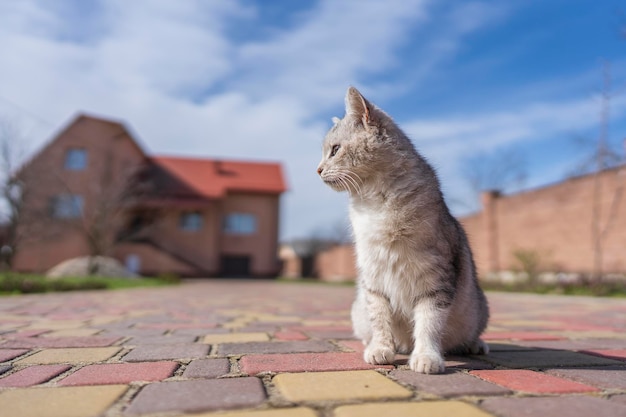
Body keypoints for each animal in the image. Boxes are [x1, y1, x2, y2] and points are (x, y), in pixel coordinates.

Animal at [316, 86, 488, 372]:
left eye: (335, 150)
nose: (317, 170)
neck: (374, 201)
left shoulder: (434, 280)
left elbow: (429, 323)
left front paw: (426, 357)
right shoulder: (373, 278)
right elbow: (379, 318)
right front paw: (381, 349)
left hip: (479, 309)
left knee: (469, 334)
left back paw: (475, 345)